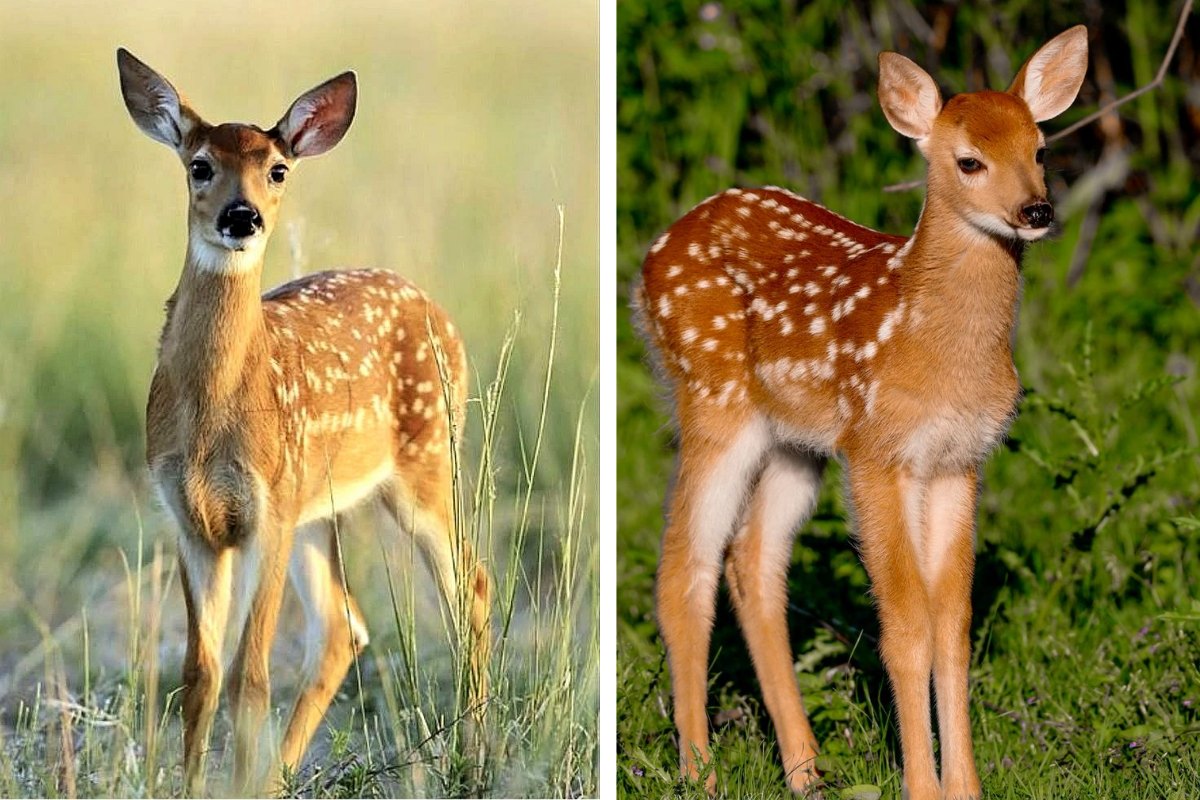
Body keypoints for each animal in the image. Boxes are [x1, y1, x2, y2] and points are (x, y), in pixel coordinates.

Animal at [116, 48, 492, 795]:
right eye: (199, 165)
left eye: (277, 170)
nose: (242, 217)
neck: (210, 417)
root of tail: (437, 310)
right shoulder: (188, 519)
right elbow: (200, 675)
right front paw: (200, 784)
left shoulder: (268, 511)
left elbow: (250, 678)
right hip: (320, 507)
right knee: (344, 628)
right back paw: (281, 778)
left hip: (425, 467)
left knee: (471, 589)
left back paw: (477, 757)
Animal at [633, 26, 1088, 800]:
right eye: (969, 160)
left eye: (1040, 150)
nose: (1036, 212)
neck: (932, 344)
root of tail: (649, 259)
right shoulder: (878, 450)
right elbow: (905, 629)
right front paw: (923, 788)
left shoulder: (958, 461)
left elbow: (951, 626)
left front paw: (965, 788)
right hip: (715, 402)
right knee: (684, 566)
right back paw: (700, 772)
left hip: (797, 443)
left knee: (751, 560)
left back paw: (804, 770)